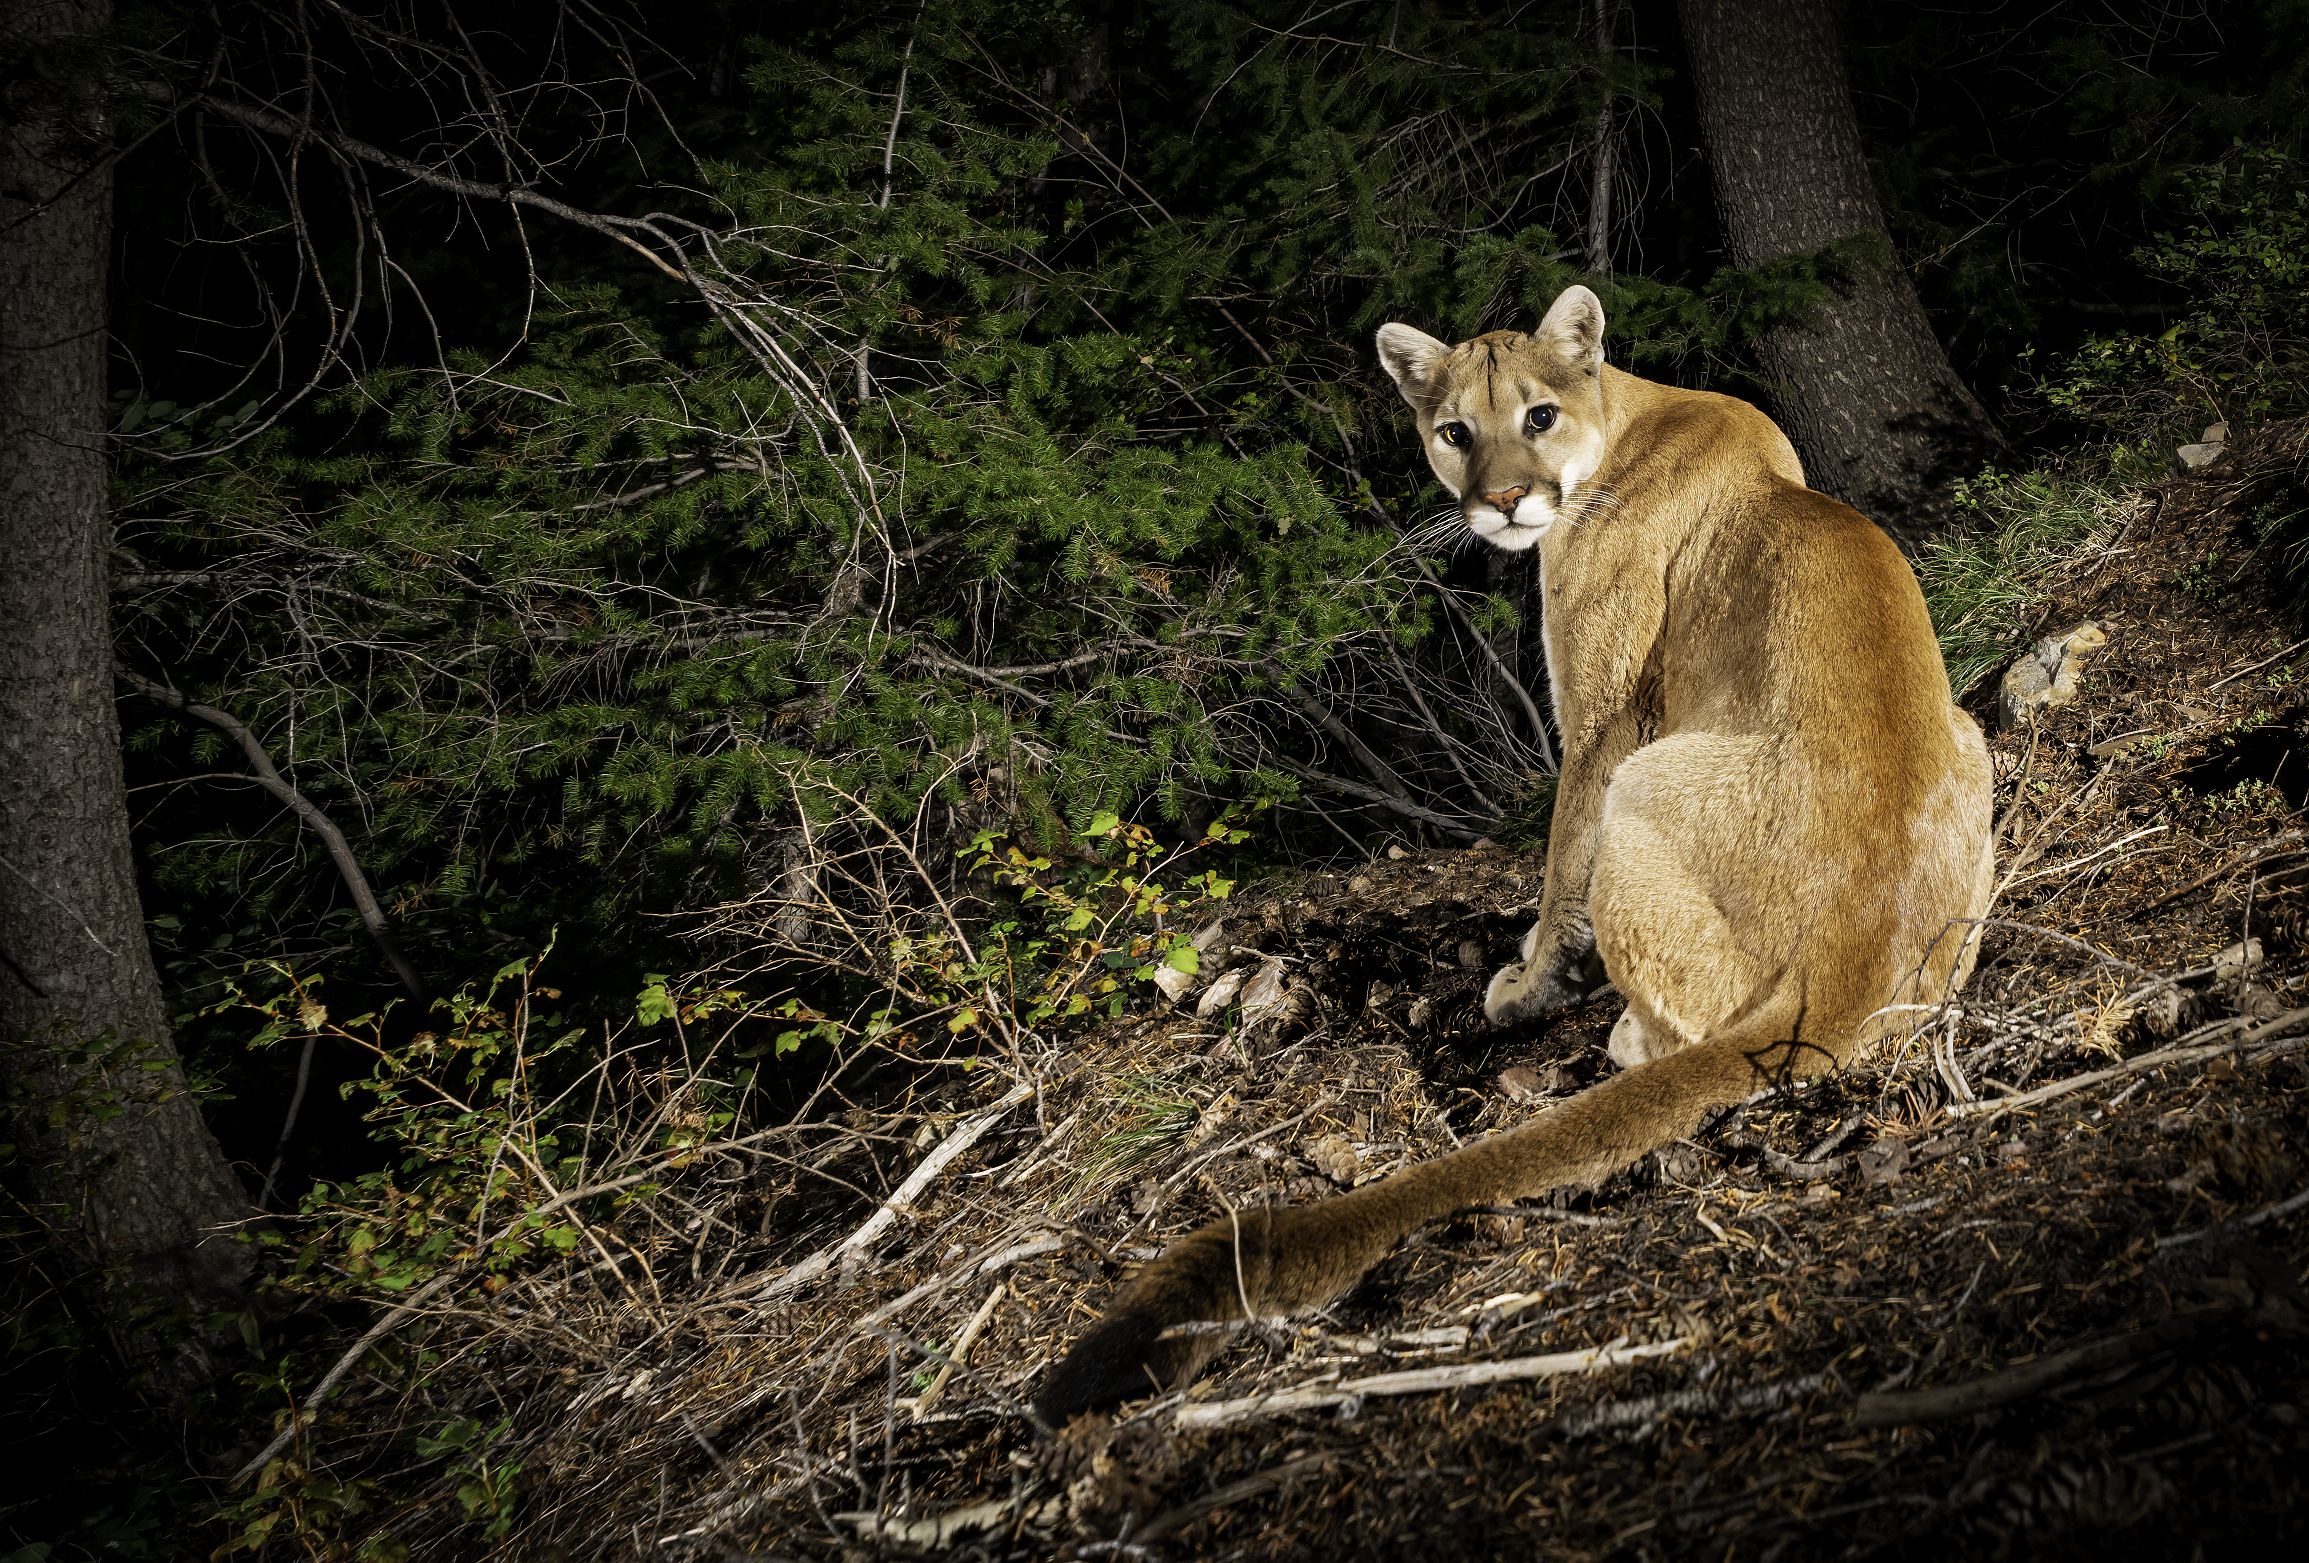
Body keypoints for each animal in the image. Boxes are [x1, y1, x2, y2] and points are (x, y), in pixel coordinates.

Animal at [1039, 286, 1994, 1422]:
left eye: (1536, 416)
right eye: (1455, 431)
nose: (1499, 500)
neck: (1625, 417)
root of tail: (1851, 957)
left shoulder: (1600, 723)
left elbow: (1555, 862)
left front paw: (1527, 985)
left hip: (1644, 784)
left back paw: (1620, 1035)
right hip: (1971, 740)